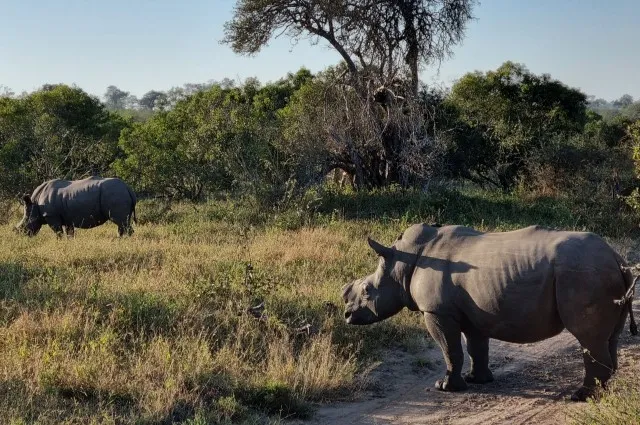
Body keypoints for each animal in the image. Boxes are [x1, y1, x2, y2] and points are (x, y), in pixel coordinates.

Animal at [342, 222, 636, 400]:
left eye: (367, 291)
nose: (346, 316)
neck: (401, 264)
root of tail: (616, 258)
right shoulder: (475, 312)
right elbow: (475, 347)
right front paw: (478, 380)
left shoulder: (436, 312)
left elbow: (450, 349)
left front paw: (445, 387)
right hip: (600, 273)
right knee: (609, 337)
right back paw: (605, 392)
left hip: (583, 274)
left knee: (588, 337)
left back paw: (581, 396)